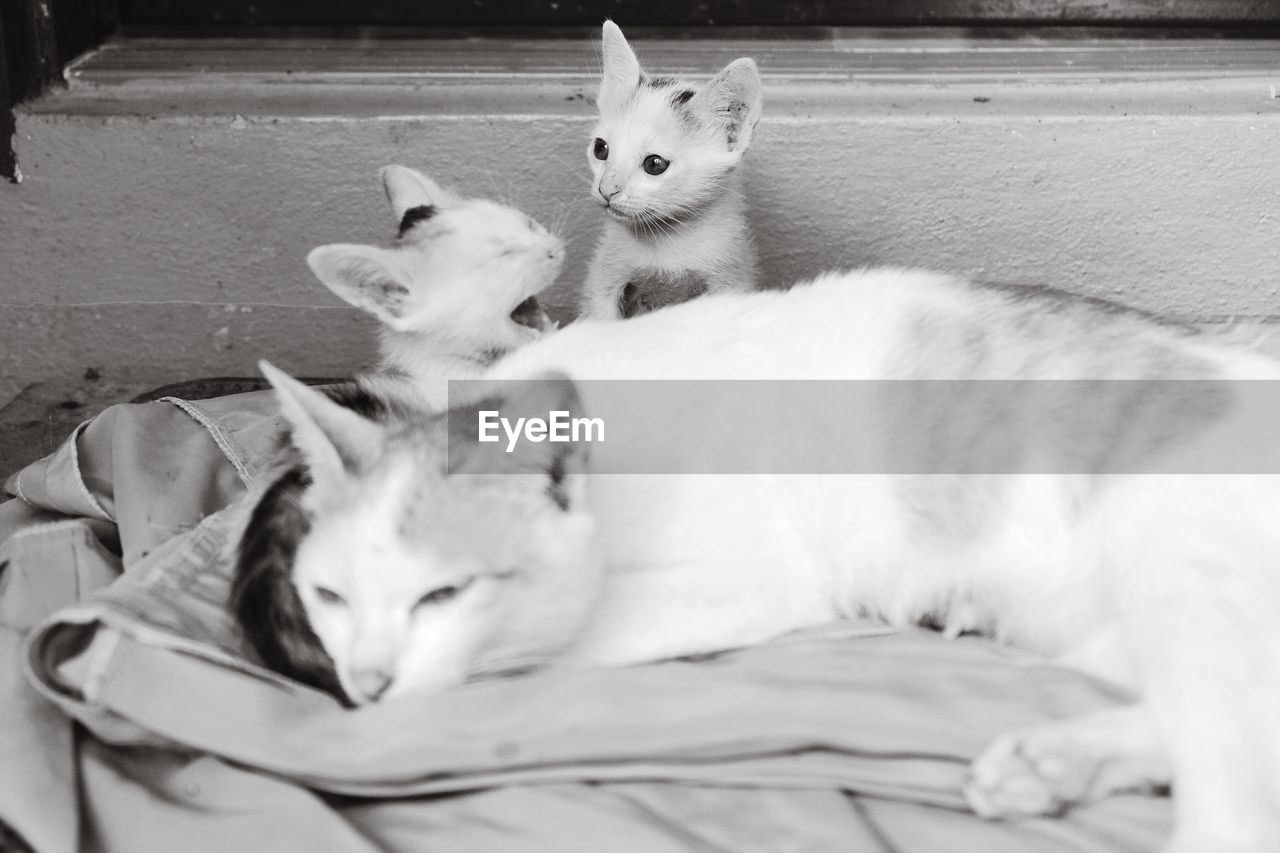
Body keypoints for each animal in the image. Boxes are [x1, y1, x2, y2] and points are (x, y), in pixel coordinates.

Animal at [578, 23, 757, 322]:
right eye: (600, 149)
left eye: (654, 164)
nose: (606, 189)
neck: (666, 243)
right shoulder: (606, 275)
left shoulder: (729, 275)